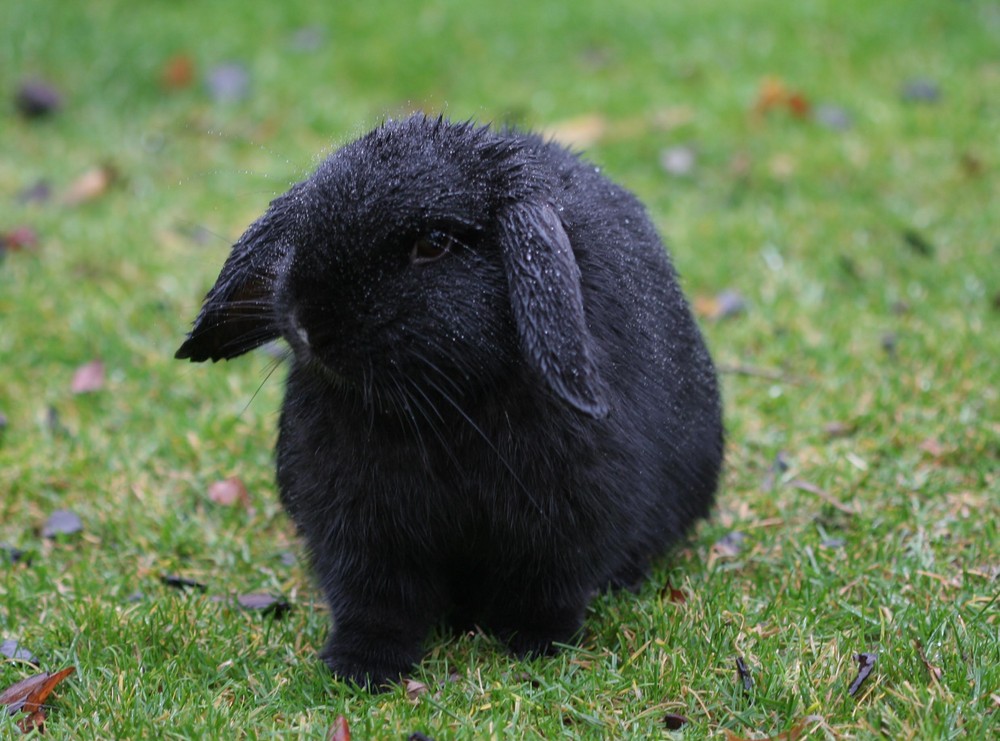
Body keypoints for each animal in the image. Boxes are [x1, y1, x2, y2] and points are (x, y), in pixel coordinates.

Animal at [180, 114, 724, 688]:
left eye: (435, 242)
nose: (307, 322)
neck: (442, 406)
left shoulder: (567, 522)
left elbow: (548, 590)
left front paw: (536, 646)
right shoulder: (359, 530)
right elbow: (375, 601)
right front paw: (360, 666)